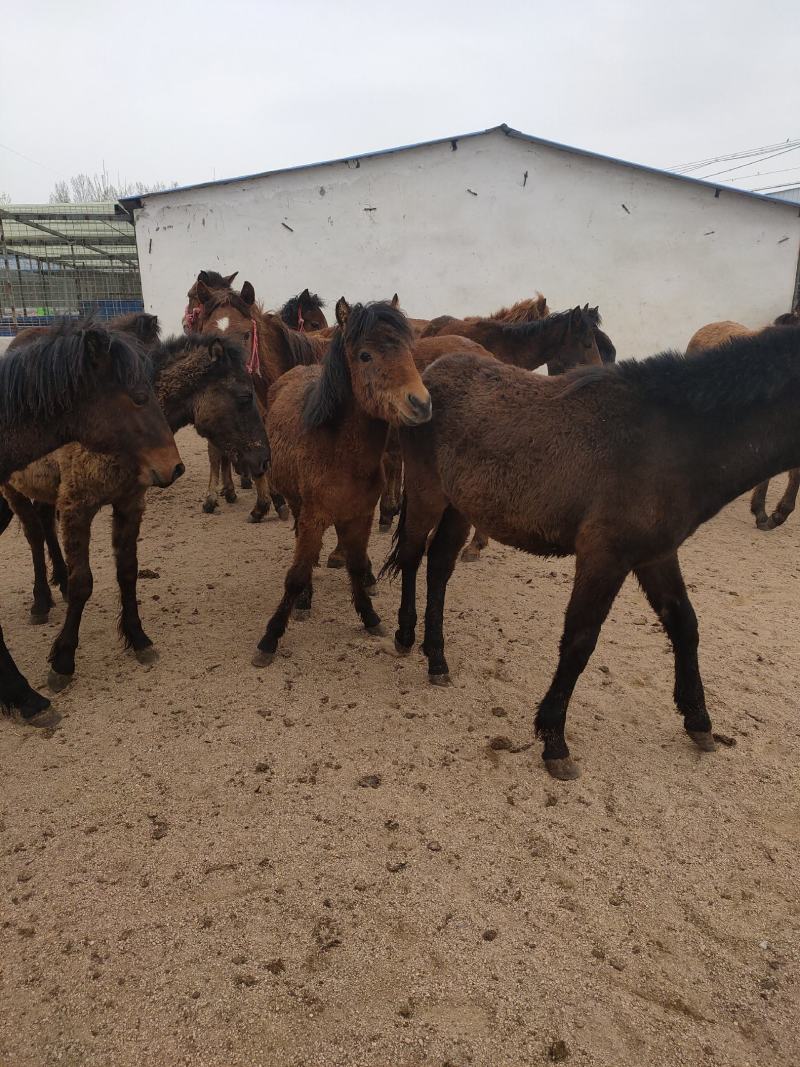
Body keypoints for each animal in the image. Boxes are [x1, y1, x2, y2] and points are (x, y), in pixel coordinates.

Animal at [2, 333, 268, 688]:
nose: (264, 460)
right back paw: (41, 600)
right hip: (12, 489)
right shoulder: (77, 508)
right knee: (34, 535)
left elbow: (127, 572)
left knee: (45, 527)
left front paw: (138, 638)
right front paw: (63, 660)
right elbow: (83, 582)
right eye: (244, 396)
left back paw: (58, 580)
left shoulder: (129, 504)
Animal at [251, 299, 431, 667]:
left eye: (408, 350)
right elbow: (295, 575)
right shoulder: (314, 514)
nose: (420, 403)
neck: (339, 452)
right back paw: (305, 598)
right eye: (365, 355)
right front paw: (270, 637)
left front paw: (370, 616)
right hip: (298, 504)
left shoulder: (361, 515)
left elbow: (357, 563)